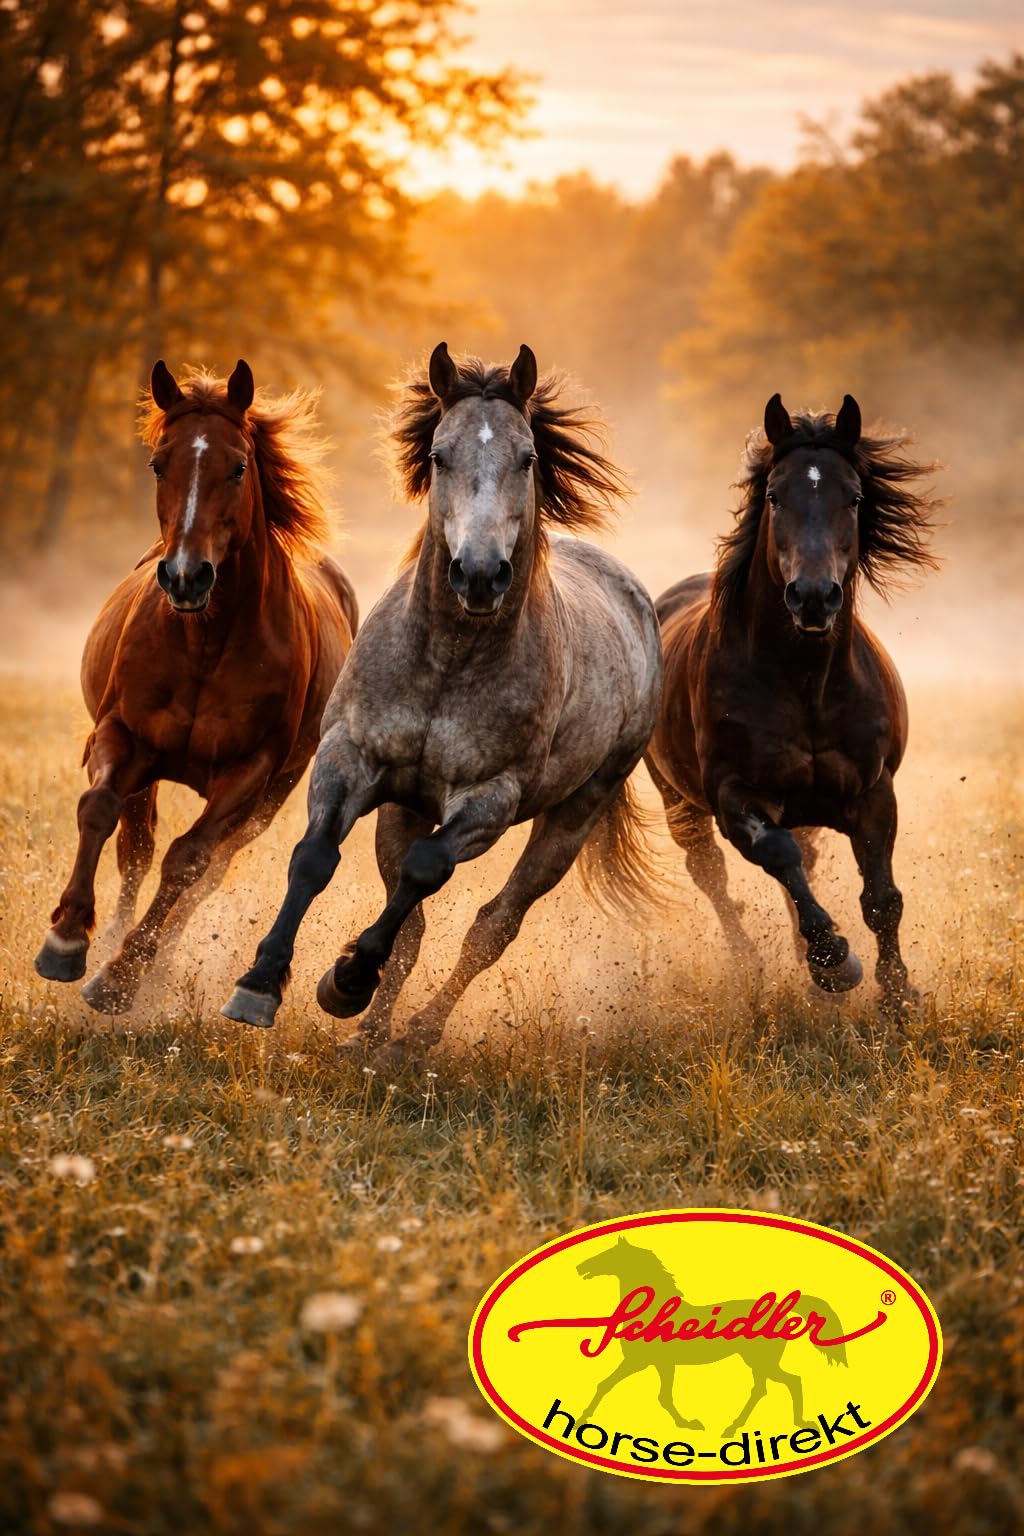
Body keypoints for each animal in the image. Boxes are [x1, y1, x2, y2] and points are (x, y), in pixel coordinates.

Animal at [34, 359, 358, 1012]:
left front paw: (123, 976)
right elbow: (99, 811)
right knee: (135, 849)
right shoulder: (122, 735)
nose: (186, 576)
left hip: (270, 798)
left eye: (238, 466)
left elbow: (188, 862)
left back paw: (153, 965)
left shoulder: (251, 773)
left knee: (208, 869)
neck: (204, 641)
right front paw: (67, 939)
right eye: (160, 463)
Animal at [221, 342, 663, 1062]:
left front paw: (345, 981)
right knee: (415, 927)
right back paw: (369, 1036)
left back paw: (413, 1034)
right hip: (402, 807)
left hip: (575, 813)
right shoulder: (349, 759)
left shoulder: (489, 800)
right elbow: (315, 859)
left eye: (527, 458)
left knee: (492, 927)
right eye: (438, 455)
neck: (448, 663)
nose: (479, 575)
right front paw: (259, 986)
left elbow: (426, 873)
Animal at [576, 1237, 848, 1437]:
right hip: (758, 1362)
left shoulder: (642, 1361)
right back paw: (734, 1428)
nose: (580, 1267)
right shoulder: (659, 1363)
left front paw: (580, 1420)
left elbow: (618, 1388)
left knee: (790, 1381)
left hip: (761, 1361)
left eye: (608, 1255)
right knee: (764, 1388)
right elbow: (655, 1395)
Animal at [645, 393, 939, 1013]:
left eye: (854, 497)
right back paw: (753, 963)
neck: (806, 683)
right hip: (678, 802)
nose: (812, 597)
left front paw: (898, 995)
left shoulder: (874, 793)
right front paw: (835, 963)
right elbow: (777, 855)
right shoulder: (734, 796)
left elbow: (882, 898)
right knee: (712, 873)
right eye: (775, 495)